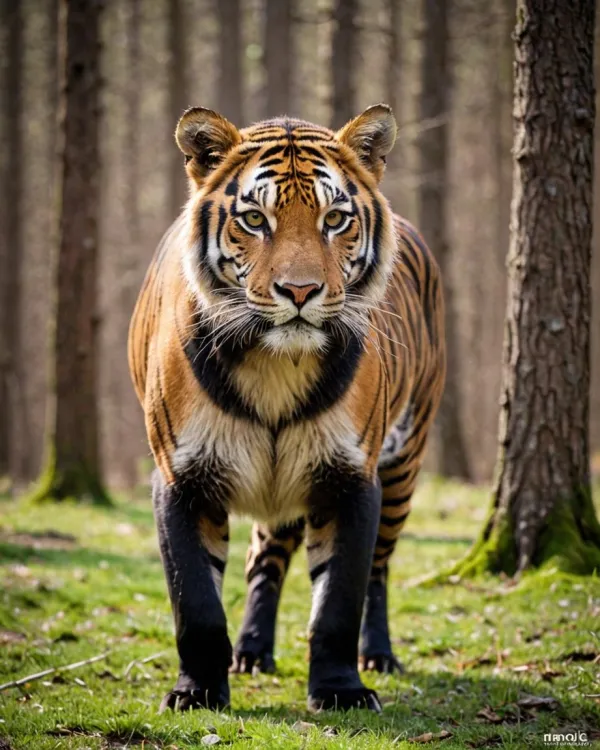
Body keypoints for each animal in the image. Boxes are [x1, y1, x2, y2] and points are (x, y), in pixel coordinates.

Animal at [128, 104, 445, 713]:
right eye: (255, 219)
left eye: (335, 219)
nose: (300, 292)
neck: (275, 365)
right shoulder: (180, 477)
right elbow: (195, 601)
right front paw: (197, 691)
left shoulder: (353, 479)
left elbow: (340, 599)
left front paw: (342, 691)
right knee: (264, 564)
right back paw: (252, 652)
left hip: (404, 464)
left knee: (379, 571)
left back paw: (379, 654)